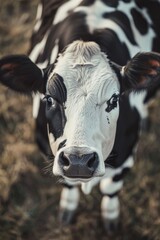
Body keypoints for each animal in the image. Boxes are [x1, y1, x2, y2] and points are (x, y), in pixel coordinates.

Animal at [0, 0, 160, 233]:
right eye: (49, 99)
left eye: (114, 100)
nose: (79, 161)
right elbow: (68, 183)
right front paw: (67, 208)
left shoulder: (127, 154)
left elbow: (111, 187)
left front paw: (111, 217)